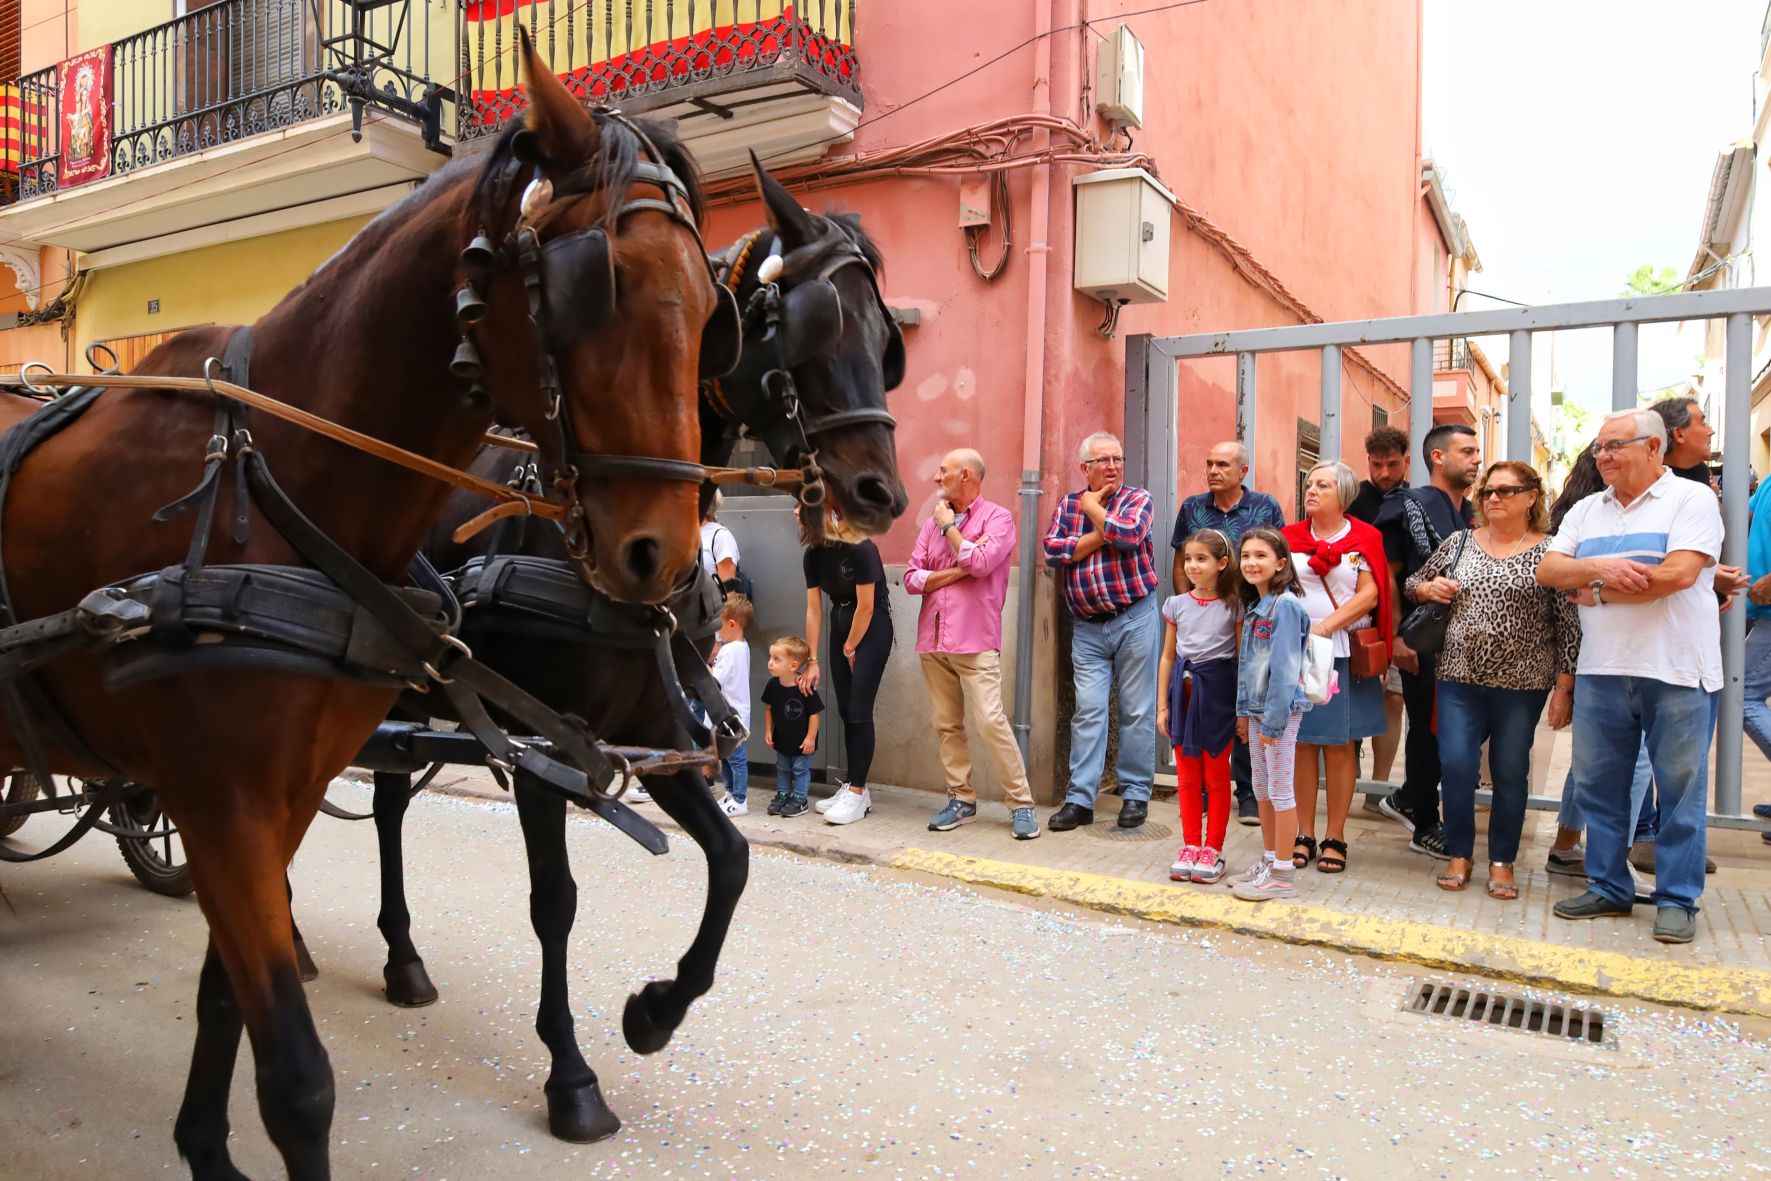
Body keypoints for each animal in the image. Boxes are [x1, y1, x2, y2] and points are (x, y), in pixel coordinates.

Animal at [0, 32, 726, 1175]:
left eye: (711, 306)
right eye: (598, 281)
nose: (658, 554)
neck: (267, 484)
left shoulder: (278, 798)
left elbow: (228, 997)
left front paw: (204, 1145)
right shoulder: (224, 798)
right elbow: (300, 1080)